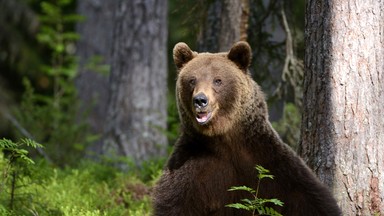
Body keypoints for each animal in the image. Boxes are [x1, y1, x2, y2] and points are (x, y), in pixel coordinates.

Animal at [152, 41, 340, 215]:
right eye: (192, 80)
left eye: (218, 80)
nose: (200, 100)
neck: (224, 137)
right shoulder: (193, 164)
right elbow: (175, 203)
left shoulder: (268, 161)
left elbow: (308, 197)